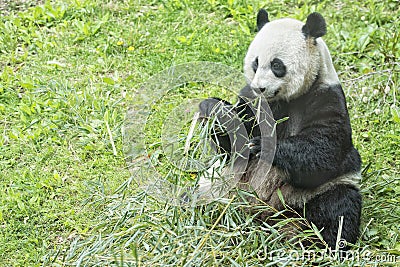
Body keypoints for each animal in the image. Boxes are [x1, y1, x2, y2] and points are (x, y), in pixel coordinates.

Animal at [198, 9, 364, 250]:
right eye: (256, 63)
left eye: (277, 65)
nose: (260, 88)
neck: (282, 100)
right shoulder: (251, 101)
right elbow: (232, 147)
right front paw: (214, 110)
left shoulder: (327, 96)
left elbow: (325, 150)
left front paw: (265, 146)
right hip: (221, 184)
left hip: (311, 194)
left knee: (337, 209)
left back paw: (323, 244)